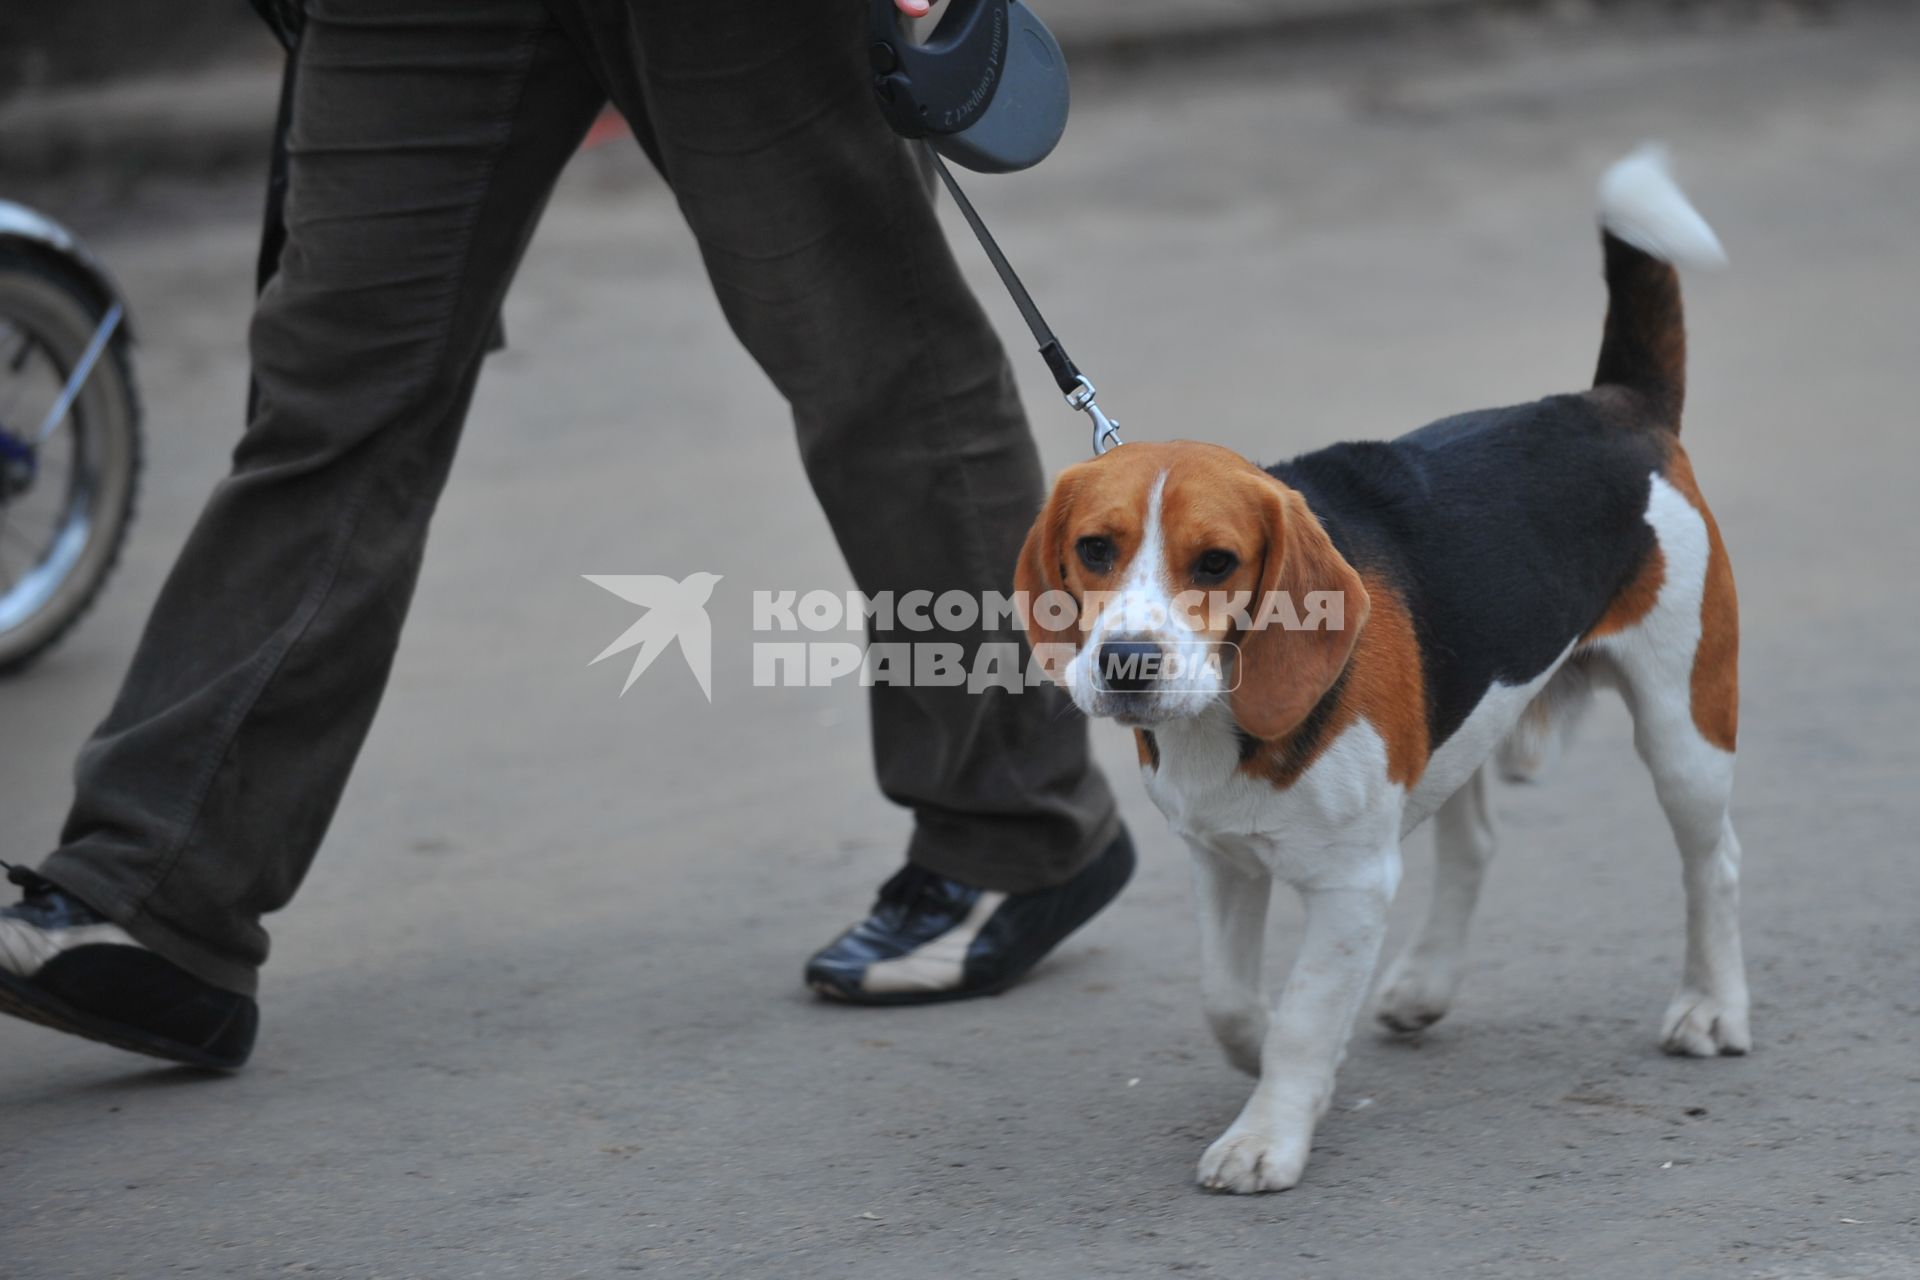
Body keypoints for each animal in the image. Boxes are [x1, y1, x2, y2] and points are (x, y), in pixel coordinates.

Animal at [1029, 144, 1751, 1197]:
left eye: (1216, 563)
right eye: (1094, 549)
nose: (1126, 664)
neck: (1226, 723)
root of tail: (1611, 405)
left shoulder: (1352, 883)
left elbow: (1298, 1013)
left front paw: (1267, 1134)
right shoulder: (1219, 859)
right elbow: (1230, 999)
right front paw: (1273, 1064)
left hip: (1685, 723)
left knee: (1713, 860)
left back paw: (1712, 1008)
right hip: (1463, 730)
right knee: (1477, 842)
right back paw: (1425, 984)